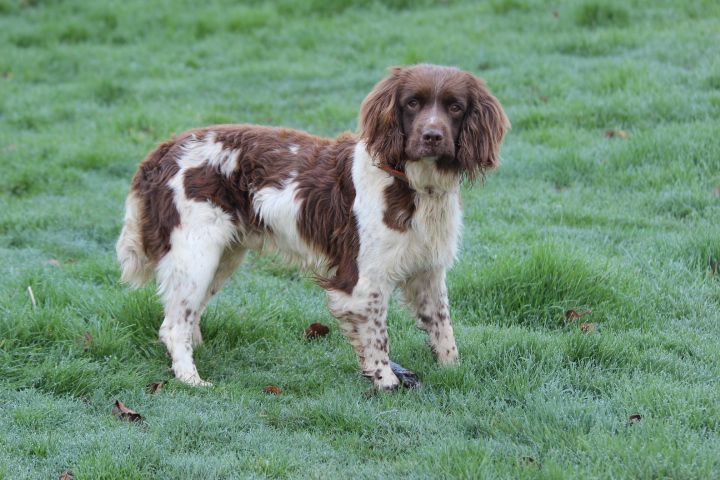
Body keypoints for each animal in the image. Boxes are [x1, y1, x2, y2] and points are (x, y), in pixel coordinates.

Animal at [115, 63, 510, 388]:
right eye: (412, 103)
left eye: (455, 107)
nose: (432, 136)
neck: (414, 185)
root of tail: (164, 149)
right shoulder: (363, 281)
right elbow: (378, 337)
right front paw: (386, 382)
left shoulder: (428, 271)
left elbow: (443, 328)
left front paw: (454, 373)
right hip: (195, 252)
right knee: (172, 325)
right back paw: (191, 379)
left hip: (223, 254)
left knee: (188, 314)